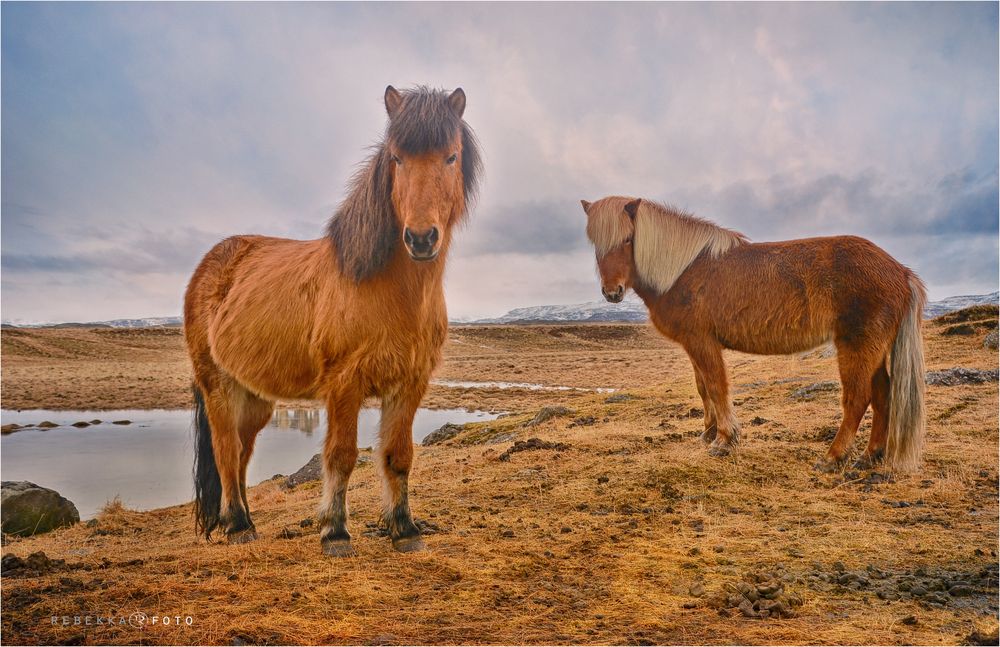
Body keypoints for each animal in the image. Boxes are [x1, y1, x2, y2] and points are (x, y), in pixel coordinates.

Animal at [188, 83, 484, 556]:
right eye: (397, 157)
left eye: (451, 156)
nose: (421, 238)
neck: (388, 289)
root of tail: (210, 264)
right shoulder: (345, 384)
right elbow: (342, 456)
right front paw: (335, 532)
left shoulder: (410, 384)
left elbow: (398, 456)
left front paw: (405, 529)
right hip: (218, 386)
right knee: (225, 450)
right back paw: (237, 525)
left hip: (254, 398)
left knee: (241, 455)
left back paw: (248, 520)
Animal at [584, 195, 924, 474]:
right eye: (595, 245)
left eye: (628, 239)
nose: (612, 293)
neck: (682, 271)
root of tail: (900, 272)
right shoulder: (693, 345)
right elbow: (703, 388)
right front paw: (708, 433)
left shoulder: (702, 342)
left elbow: (717, 387)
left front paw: (724, 440)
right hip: (873, 351)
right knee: (882, 396)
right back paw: (869, 456)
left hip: (857, 346)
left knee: (858, 398)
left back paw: (833, 457)